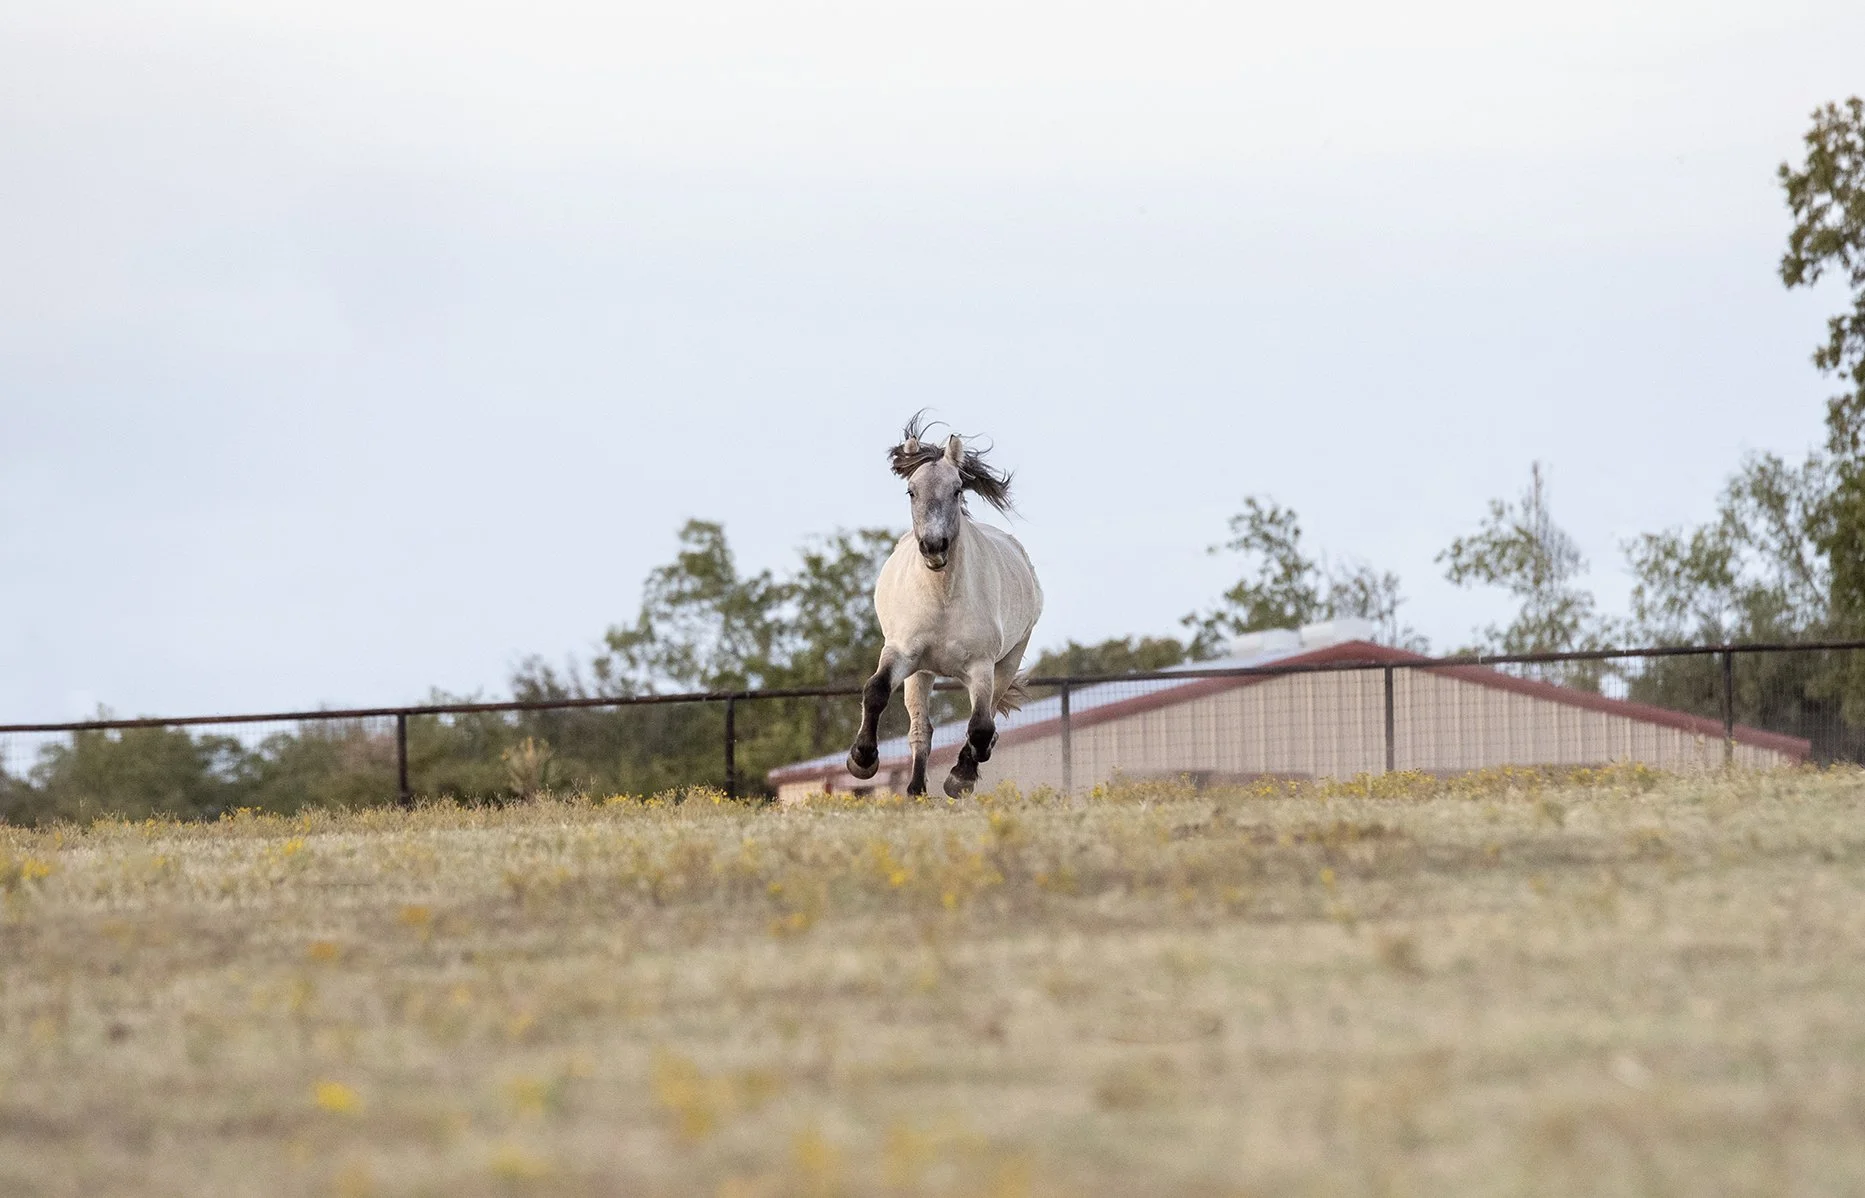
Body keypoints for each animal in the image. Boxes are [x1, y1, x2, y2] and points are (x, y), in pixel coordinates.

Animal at [846, 414, 1044, 798]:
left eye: (956, 490)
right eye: (912, 491)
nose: (934, 546)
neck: (942, 598)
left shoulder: (981, 667)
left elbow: (980, 726)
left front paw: (960, 778)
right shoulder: (901, 652)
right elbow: (876, 691)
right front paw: (861, 760)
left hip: (1007, 662)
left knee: (986, 720)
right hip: (921, 673)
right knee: (921, 730)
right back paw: (914, 789)